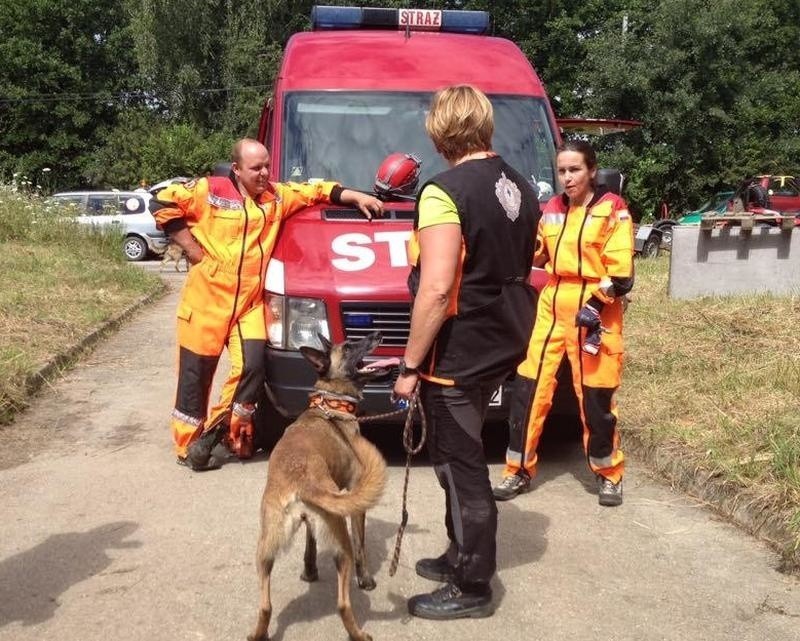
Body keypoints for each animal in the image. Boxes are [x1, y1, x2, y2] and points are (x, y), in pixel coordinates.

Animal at [248, 330, 390, 640]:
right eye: (348, 347)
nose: (377, 333)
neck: (330, 403)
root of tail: (301, 482)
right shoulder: (354, 504)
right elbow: (362, 545)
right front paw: (366, 579)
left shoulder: (312, 520)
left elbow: (310, 544)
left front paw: (309, 571)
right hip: (341, 544)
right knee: (342, 604)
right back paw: (359, 633)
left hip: (265, 549)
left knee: (265, 606)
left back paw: (258, 633)